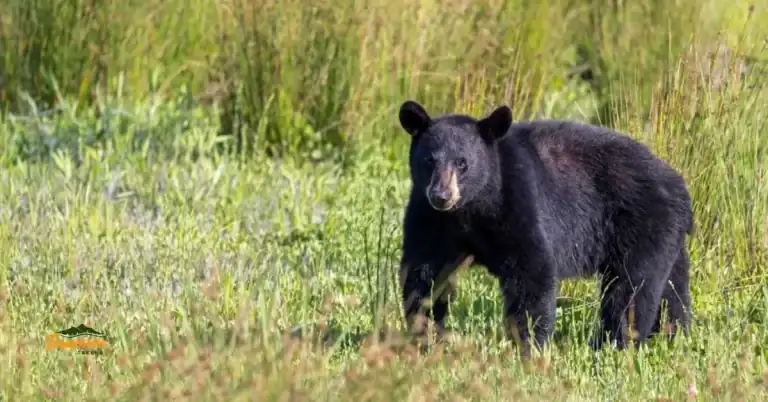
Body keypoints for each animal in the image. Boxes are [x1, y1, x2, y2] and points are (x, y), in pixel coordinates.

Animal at [396, 100, 693, 356]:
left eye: (462, 163)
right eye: (429, 161)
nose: (441, 196)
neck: (470, 210)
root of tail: (679, 184)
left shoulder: (518, 201)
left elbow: (531, 271)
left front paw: (529, 345)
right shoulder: (429, 219)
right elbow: (425, 273)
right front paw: (424, 332)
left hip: (642, 224)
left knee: (632, 290)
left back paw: (612, 345)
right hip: (668, 238)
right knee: (672, 289)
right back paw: (674, 336)